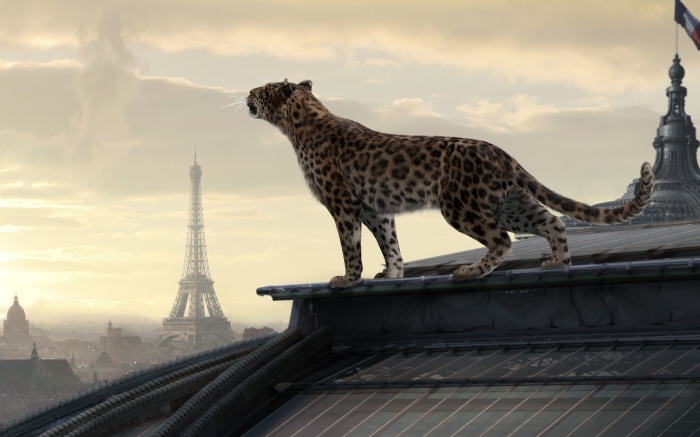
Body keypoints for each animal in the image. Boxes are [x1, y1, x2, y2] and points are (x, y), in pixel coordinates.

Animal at [247, 79, 655, 288]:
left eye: (262, 88)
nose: (247, 94)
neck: (301, 121)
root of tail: (503, 153)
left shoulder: (343, 204)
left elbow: (351, 246)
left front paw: (347, 278)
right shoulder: (376, 209)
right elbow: (390, 246)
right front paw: (392, 274)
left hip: (461, 206)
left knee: (502, 241)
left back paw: (470, 271)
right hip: (510, 203)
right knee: (552, 221)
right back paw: (558, 262)